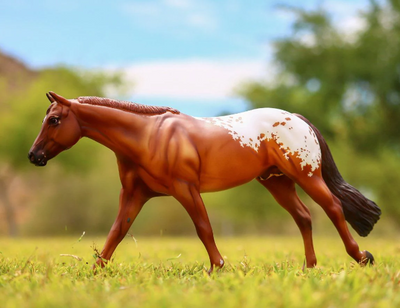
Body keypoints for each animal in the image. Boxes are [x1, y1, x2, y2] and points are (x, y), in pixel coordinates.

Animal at [28, 92, 382, 272]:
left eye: (54, 119)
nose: (34, 156)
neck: (148, 135)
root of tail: (297, 118)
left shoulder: (185, 189)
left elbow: (203, 228)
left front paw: (217, 267)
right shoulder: (134, 194)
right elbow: (116, 233)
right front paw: (94, 273)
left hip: (307, 176)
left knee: (333, 208)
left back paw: (362, 257)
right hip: (278, 183)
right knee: (304, 217)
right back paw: (310, 267)